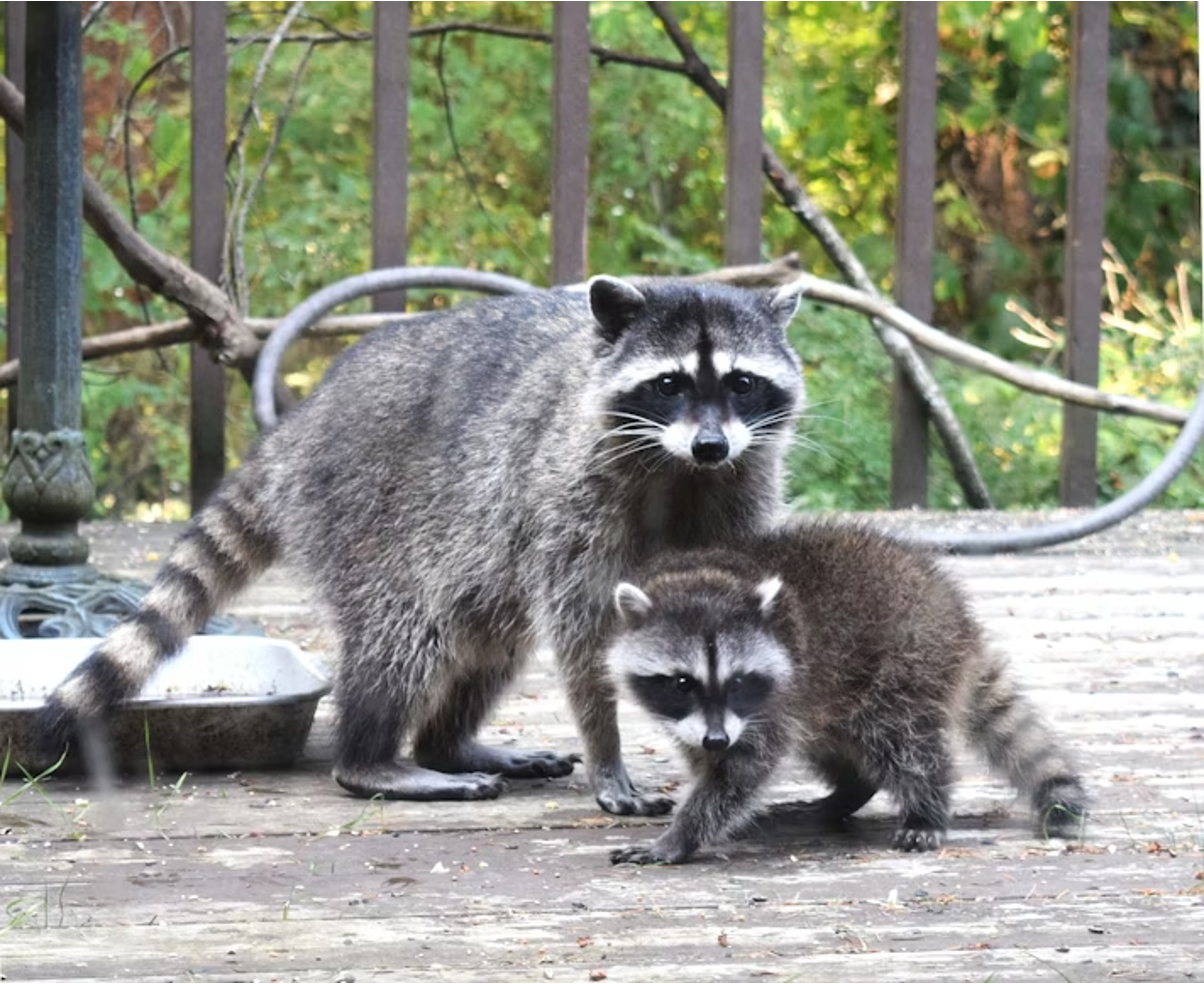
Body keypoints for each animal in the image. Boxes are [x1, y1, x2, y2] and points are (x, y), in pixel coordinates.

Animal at [38, 276, 806, 815]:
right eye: (669, 384)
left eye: (740, 382)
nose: (711, 444)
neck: (680, 471)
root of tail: (303, 422)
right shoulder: (569, 493)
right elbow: (585, 635)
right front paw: (608, 750)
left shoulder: (741, 488)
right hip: (365, 511)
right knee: (404, 637)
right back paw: (374, 758)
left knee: (488, 637)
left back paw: (449, 742)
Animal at [607, 521, 1087, 863]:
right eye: (682, 683)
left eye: (738, 681)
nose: (716, 739)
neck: (705, 578)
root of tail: (959, 621)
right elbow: (709, 760)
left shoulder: (773, 702)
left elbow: (739, 772)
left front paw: (682, 835)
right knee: (832, 741)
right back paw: (848, 792)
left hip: (907, 661)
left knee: (901, 740)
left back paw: (925, 806)